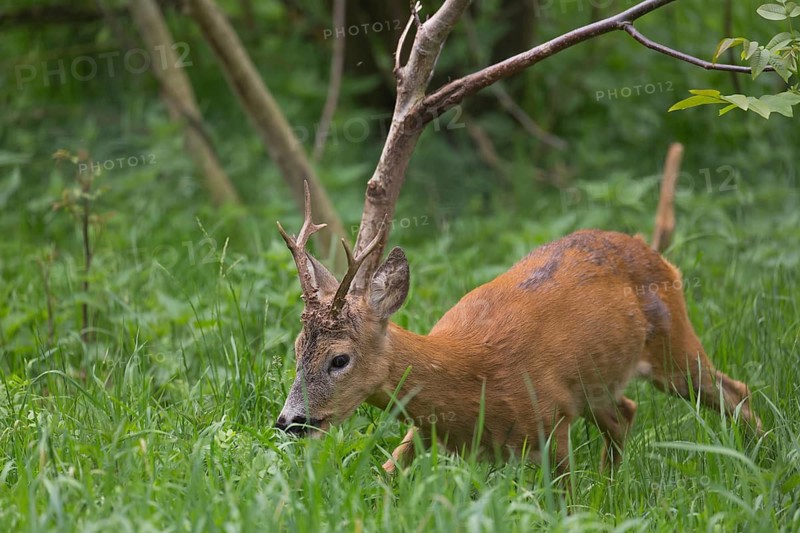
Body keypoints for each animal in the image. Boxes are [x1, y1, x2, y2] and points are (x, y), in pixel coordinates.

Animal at [274, 182, 761, 478]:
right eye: (296, 349)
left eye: (339, 359)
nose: (289, 422)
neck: (474, 376)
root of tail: (651, 249)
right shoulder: (425, 429)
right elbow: (388, 470)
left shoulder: (551, 421)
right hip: (597, 384)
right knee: (626, 411)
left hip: (673, 343)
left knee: (734, 390)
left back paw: (764, 458)